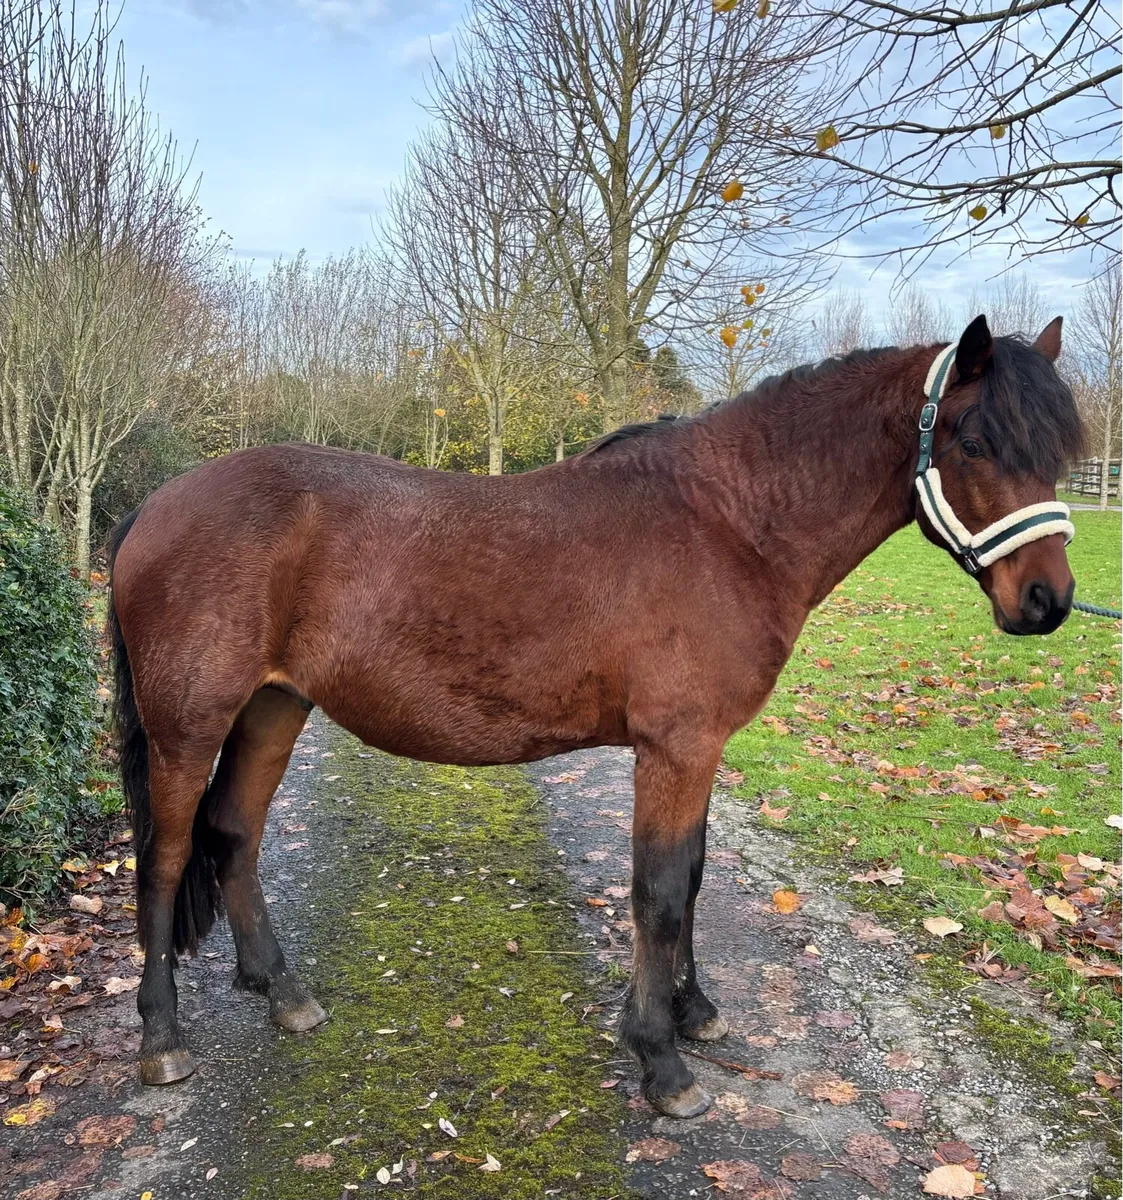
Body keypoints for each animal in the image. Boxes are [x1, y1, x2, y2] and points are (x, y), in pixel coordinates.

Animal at [107, 314, 1084, 1118]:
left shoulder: (698, 749)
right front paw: (661, 1062)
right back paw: (162, 1041)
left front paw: (692, 1012)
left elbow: (691, 878)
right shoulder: (673, 748)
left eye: (1061, 450)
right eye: (971, 439)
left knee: (232, 833)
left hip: (275, 707)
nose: (1047, 603)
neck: (728, 525)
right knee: (164, 859)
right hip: (188, 727)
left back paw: (282, 993)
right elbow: (658, 891)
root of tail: (155, 504)